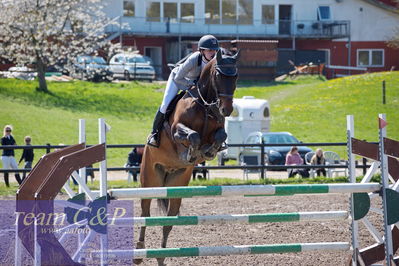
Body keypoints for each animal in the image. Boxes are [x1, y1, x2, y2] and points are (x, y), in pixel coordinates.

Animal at [134, 48, 241, 264]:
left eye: (235, 76)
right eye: (219, 75)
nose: (226, 109)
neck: (205, 105)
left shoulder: (217, 130)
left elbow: (220, 136)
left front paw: (207, 151)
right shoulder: (177, 130)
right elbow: (192, 135)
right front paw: (192, 152)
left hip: (177, 186)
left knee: (168, 221)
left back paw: (161, 256)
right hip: (150, 180)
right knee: (145, 213)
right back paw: (139, 253)